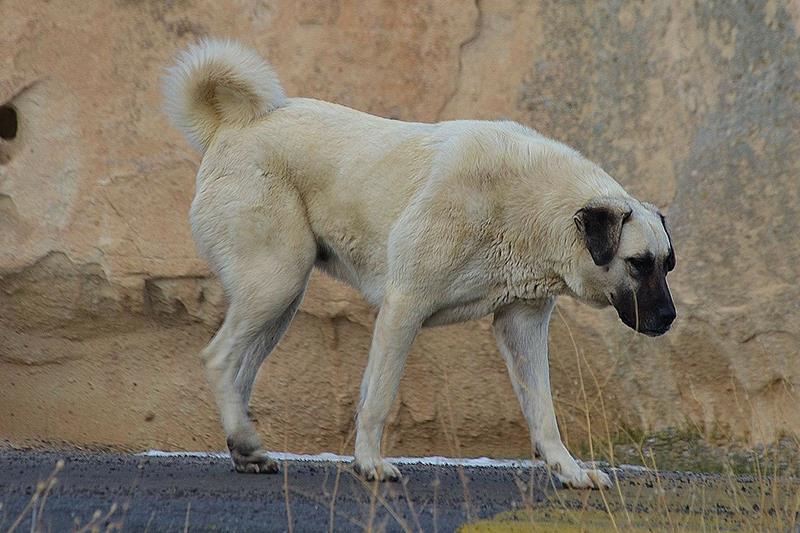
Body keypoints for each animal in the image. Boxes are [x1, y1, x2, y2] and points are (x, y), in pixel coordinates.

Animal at [166, 37, 680, 488]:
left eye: (667, 265)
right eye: (638, 263)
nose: (669, 319)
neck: (533, 205)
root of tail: (233, 127)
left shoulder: (522, 325)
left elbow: (544, 412)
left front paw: (570, 472)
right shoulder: (404, 307)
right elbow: (379, 397)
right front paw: (370, 464)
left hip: (280, 300)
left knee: (241, 371)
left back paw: (246, 448)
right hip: (277, 282)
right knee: (218, 358)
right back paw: (245, 441)